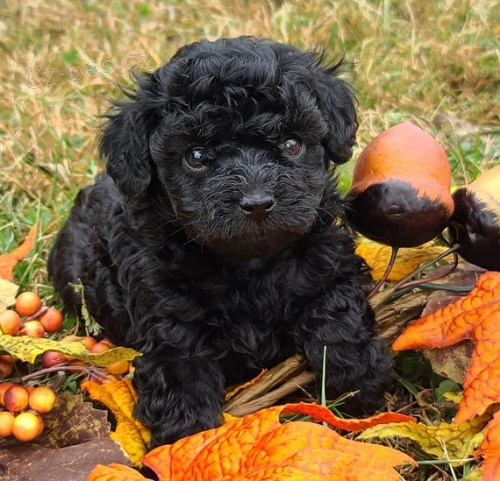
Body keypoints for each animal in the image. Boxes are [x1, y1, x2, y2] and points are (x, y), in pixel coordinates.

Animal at [48, 35, 392, 448]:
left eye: (292, 144)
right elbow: (182, 379)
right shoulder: (169, 324)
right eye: (196, 156)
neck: (248, 265)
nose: (257, 203)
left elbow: (337, 313)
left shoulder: (328, 262)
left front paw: (359, 382)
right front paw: (185, 442)